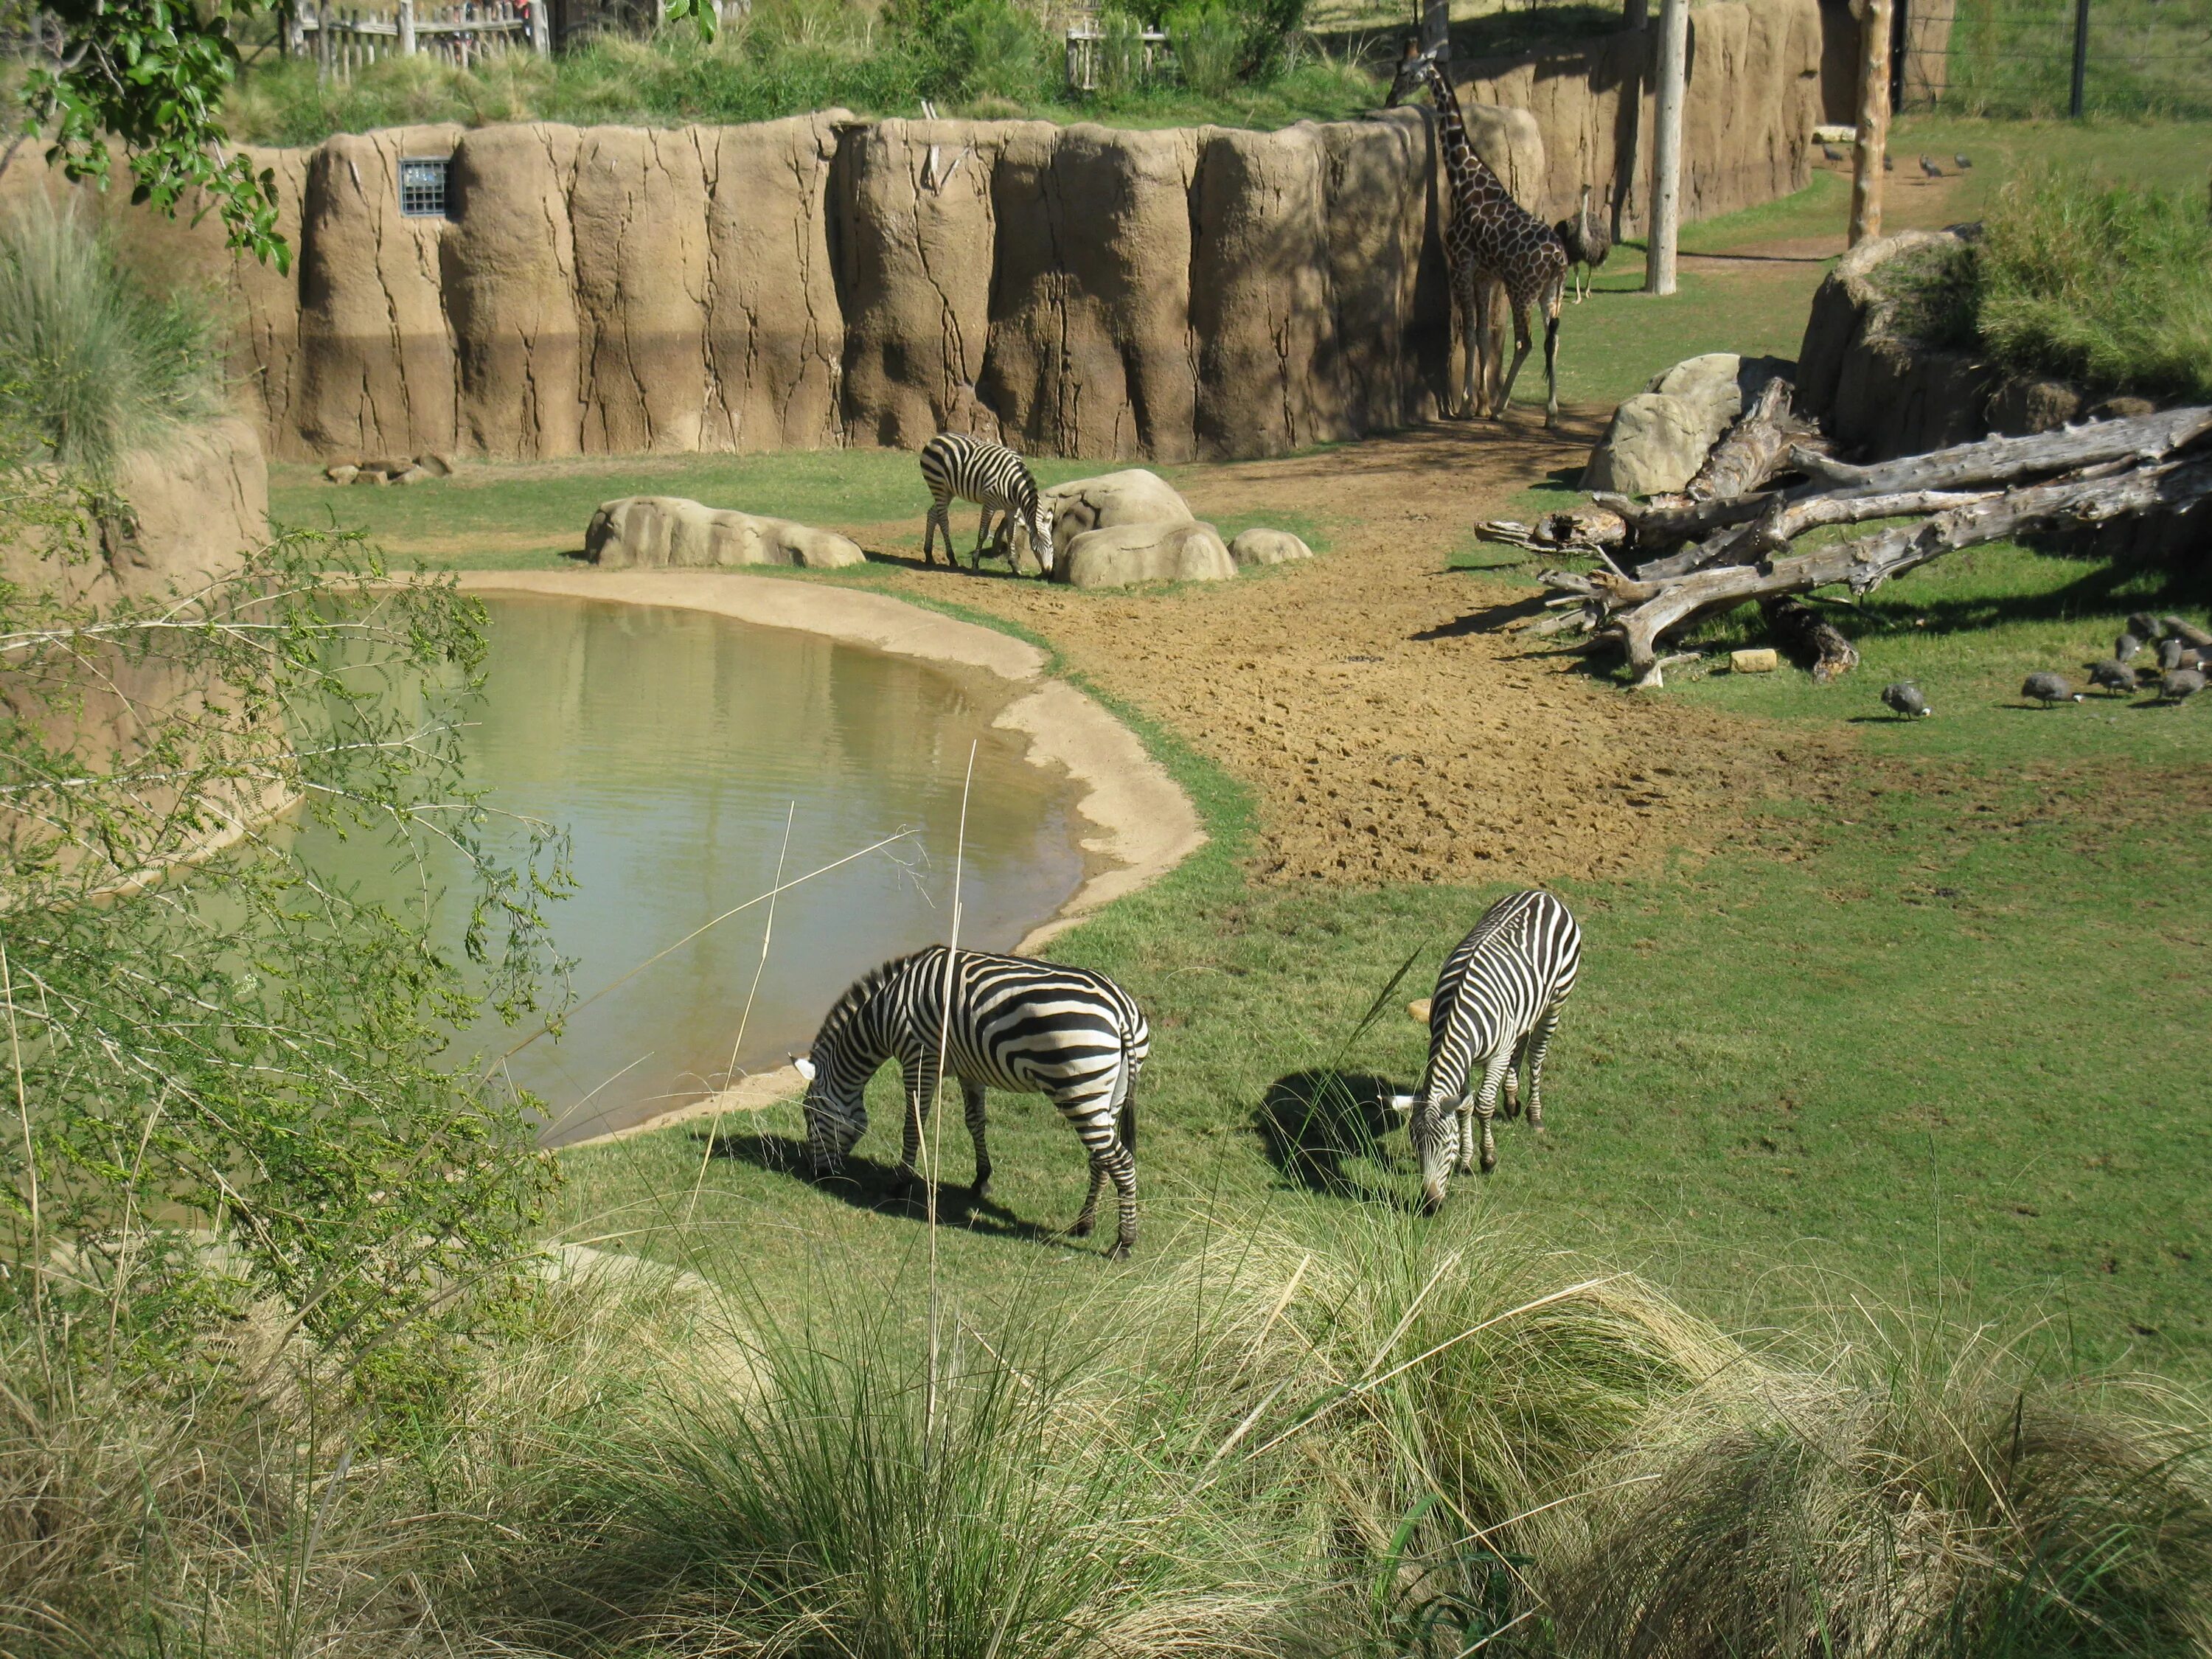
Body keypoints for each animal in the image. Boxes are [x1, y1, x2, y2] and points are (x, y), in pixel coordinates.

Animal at [796, 947, 1150, 1256]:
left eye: (809, 1116)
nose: (816, 1174)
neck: (884, 1014)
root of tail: (1120, 1009)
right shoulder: (970, 1067)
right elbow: (975, 1122)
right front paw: (981, 1180)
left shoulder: (919, 1059)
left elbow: (913, 1124)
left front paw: (900, 1183)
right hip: (1109, 1094)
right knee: (1101, 1158)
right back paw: (1084, 1224)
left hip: (1079, 1090)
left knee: (1120, 1161)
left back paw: (1124, 1243)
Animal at [916, 436, 1053, 580]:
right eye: (1034, 550)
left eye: (1050, 545)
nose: (1047, 572)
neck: (1014, 485)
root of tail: (936, 439)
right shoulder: (989, 504)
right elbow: (983, 533)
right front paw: (975, 564)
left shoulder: (1012, 509)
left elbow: (1011, 535)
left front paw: (1014, 566)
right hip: (939, 486)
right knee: (943, 521)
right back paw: (952, 558)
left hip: (948, 491)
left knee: (932, 514)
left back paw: (929, 555)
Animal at [1380, 41, 1575, 429]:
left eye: (1406, 71)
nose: (1390, 98)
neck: (1466, 182)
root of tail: (1559, 260)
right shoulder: (1486, 274)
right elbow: (1483, 334)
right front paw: (1479, 401)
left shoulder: (1462, 263)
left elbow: (1468, 333)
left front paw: (1469, 403)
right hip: (1552, 293)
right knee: (1554, 341)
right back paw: (1551, 413)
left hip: (1522, 289)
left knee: (1526, 343)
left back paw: (1502, 407)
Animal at [1389, 898, 1584, 1212]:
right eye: (1416, 1146)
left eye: (1448, 1145)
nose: (1431, 1206)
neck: (1457, 1014)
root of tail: (1542, 896)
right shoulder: (1464, 1059)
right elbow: (1465, 1105)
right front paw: (1467, 1161)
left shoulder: (1497, 1056)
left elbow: (1483, 1105)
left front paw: (1487, 1159)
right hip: (1524, 1009)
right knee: (1522, 1041)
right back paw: (1513, 1100)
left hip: (1557, 998)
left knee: (1537, 1053)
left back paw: (1534, 1115)